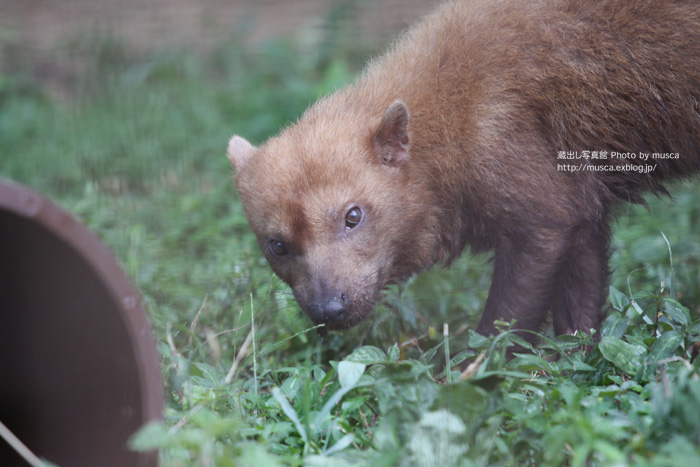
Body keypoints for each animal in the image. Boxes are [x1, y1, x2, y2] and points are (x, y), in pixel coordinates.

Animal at [228, 0, 700, 344]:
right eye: (276, 245)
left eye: (353, 216)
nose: (329, 310)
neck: (450, 119)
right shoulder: (580, 207)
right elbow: (579, 314)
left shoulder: (542, 216)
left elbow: (504, 324)